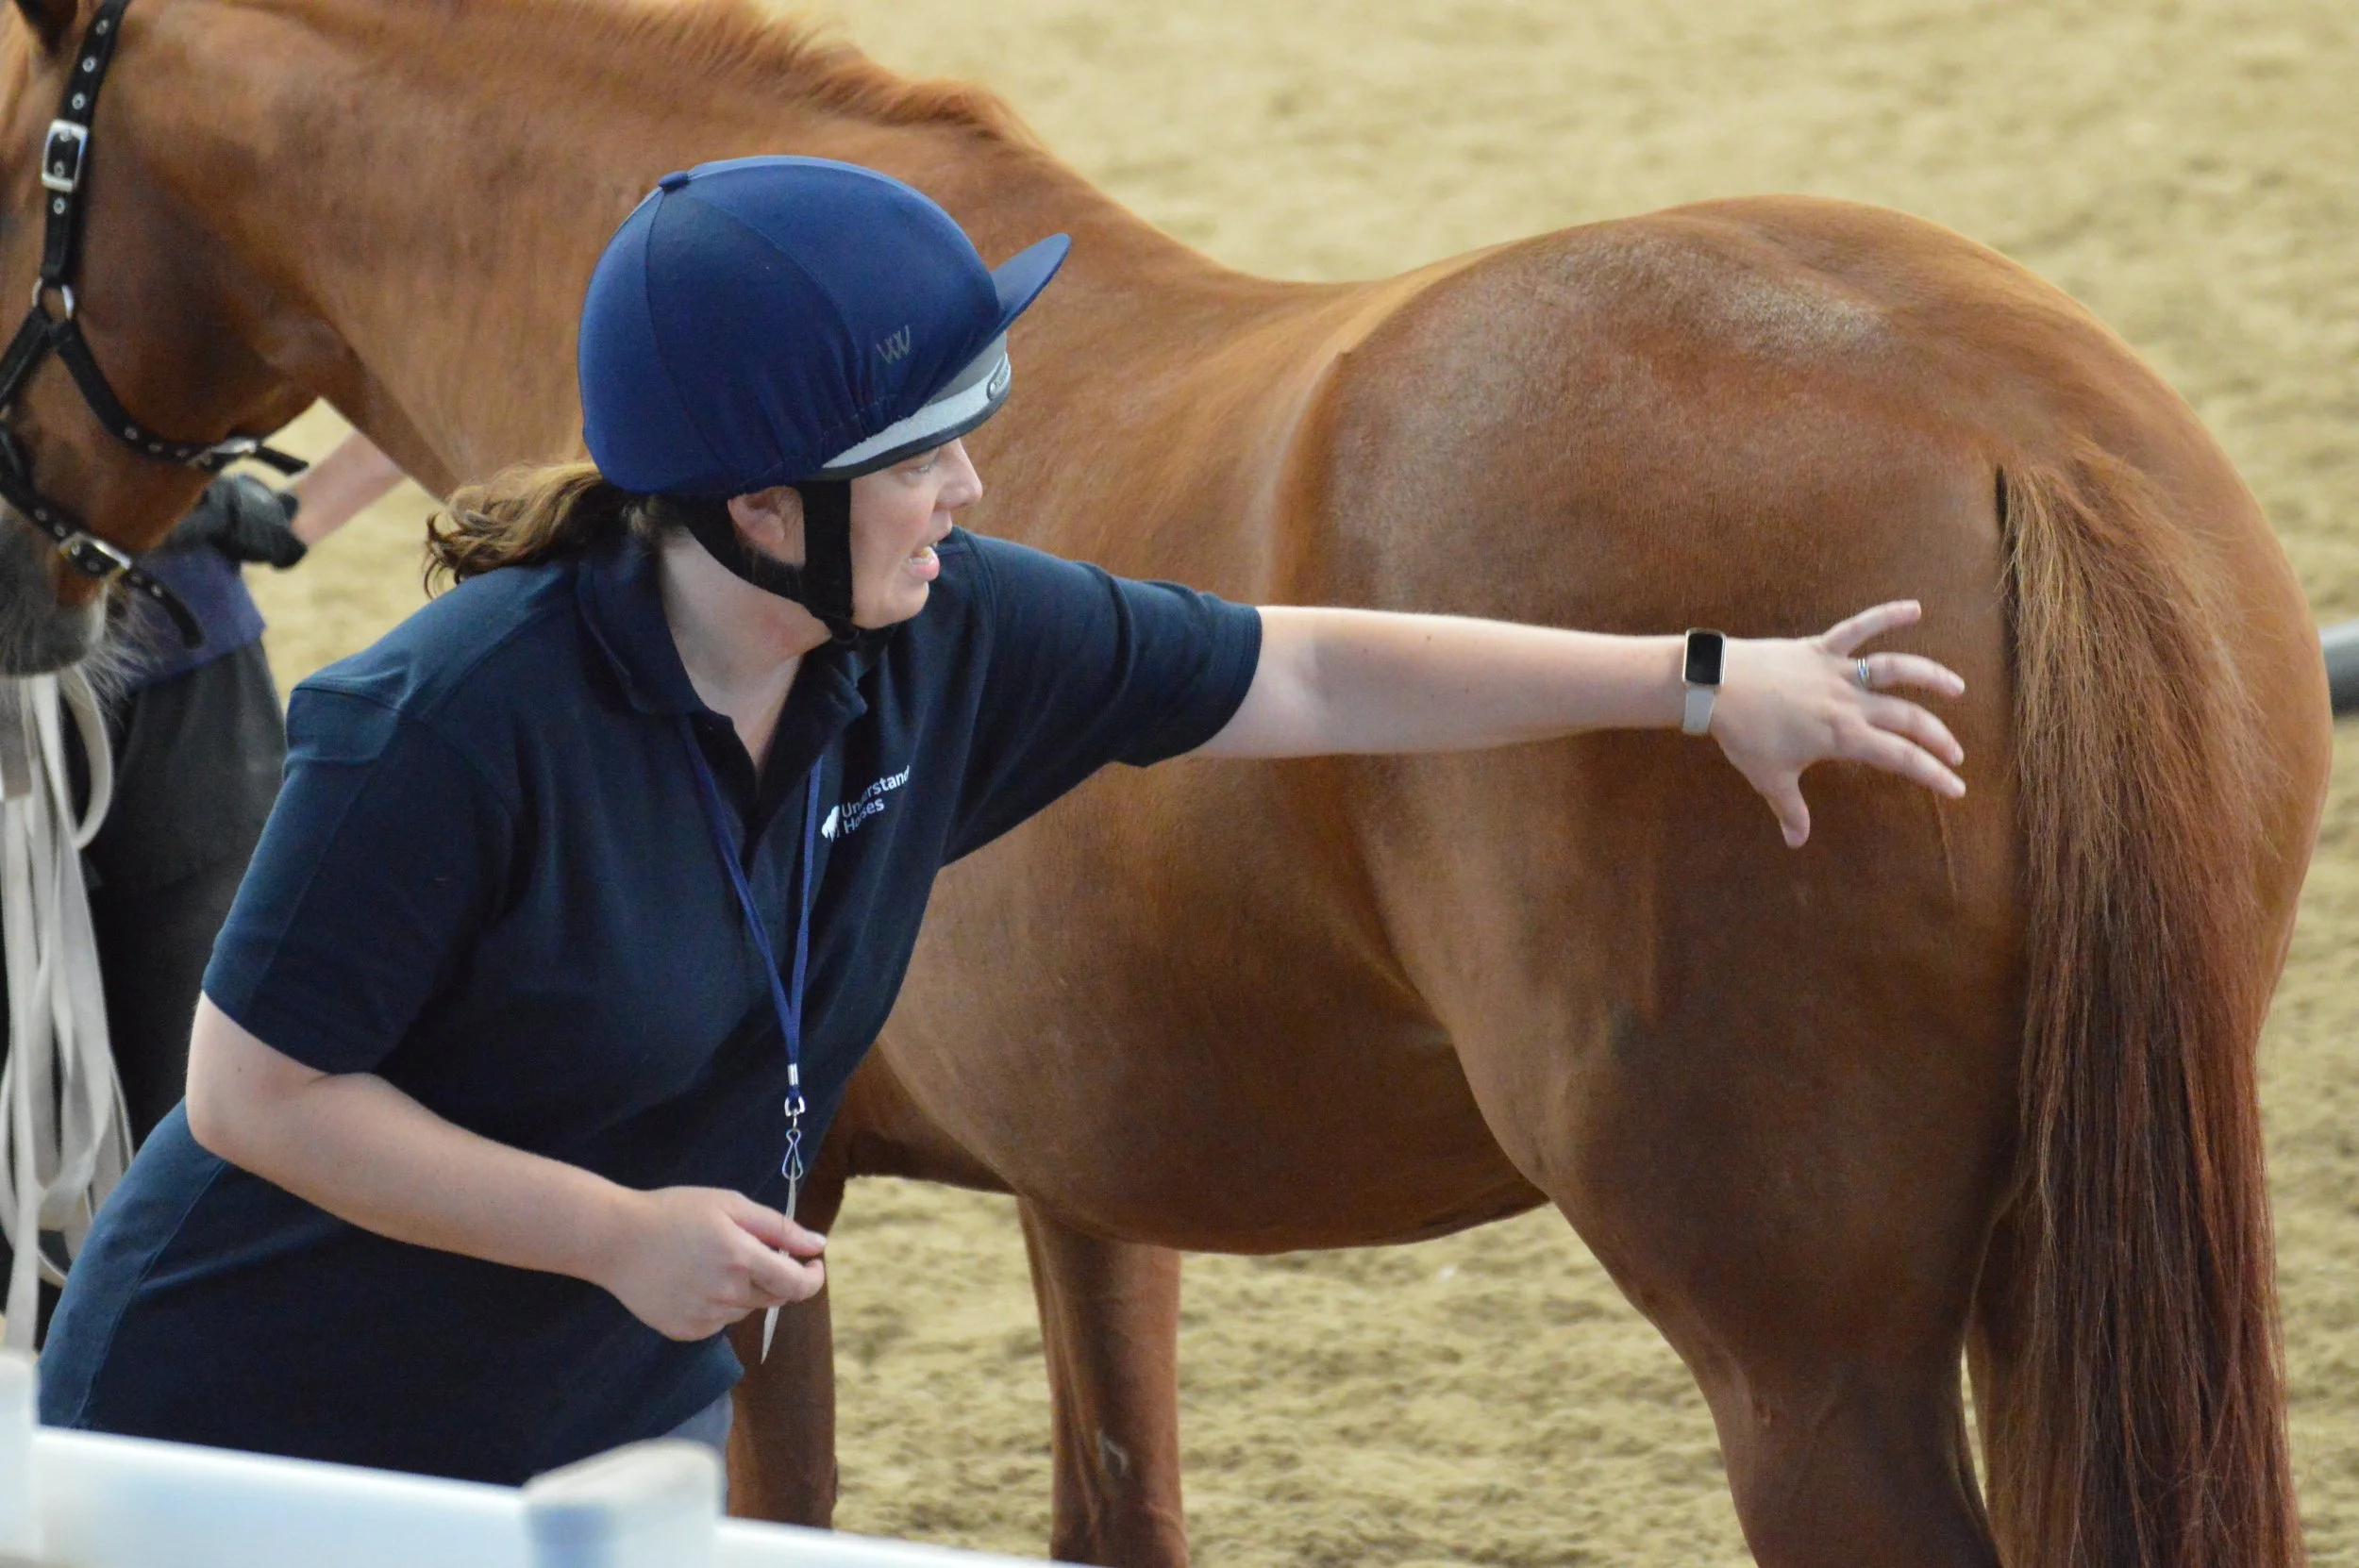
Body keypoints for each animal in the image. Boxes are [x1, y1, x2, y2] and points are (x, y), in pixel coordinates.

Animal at [0, 3, 2331, 1564]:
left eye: (12, 148)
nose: (35, 586)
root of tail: (2018, 437)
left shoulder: (762, 1232)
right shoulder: (1087, 1190)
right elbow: (1114, 1498)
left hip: (1811, 1371)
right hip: (2042, 1285)